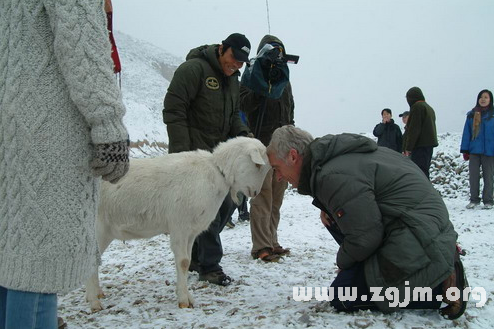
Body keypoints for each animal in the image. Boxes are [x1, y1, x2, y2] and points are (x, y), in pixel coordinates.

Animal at [85, 136, 270, 310]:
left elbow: (187, 262)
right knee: (91, 260)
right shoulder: (180, 226)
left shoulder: (191, 231)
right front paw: (183, 301)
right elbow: (182, 262)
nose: (255, 192)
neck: (216, 172)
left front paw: (188, 297)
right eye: (258, 166)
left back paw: (95, 294)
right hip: (98, 229)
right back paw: (94, 302)